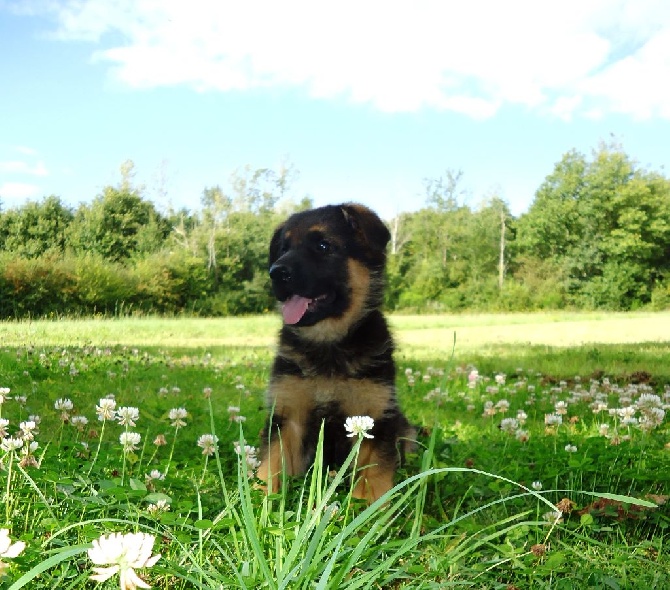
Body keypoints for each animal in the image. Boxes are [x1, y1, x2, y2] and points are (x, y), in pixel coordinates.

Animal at [258, 204, 412, 504]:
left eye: (323, 246)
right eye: (283, 248)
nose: (276, 272)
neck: (328, 343)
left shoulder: (375, 417)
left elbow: (374, 472)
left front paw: (371, 507)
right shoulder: (288, 416)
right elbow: (271, 463)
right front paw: (254, 497)